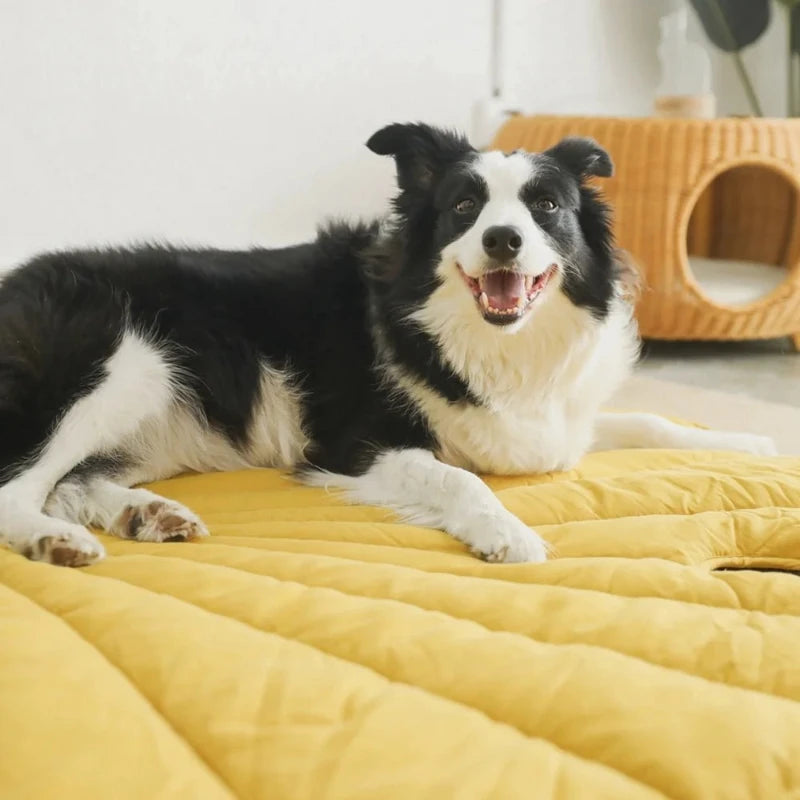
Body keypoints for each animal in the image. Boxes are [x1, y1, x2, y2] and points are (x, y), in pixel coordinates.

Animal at [0, 122, 776, 564]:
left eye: (547, 207)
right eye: (463, 207)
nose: (503, 240)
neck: (487, 341)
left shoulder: (553, 425)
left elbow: (650, 420)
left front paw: (751, 445)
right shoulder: (357, 443)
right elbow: (459, 477)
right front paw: (506, 532)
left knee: (70, 482)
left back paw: (145, 514)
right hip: (125, 360)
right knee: (20, 485)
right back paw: (55, 539)